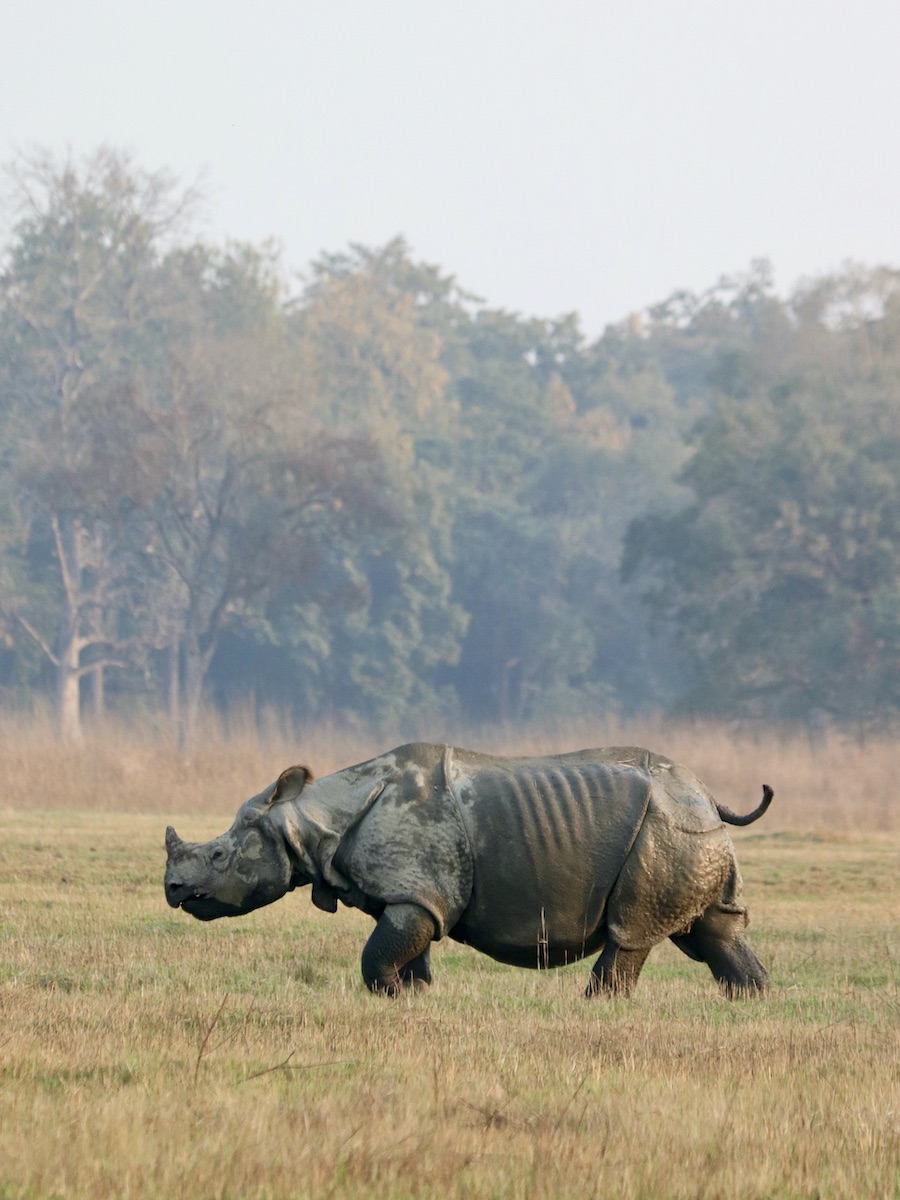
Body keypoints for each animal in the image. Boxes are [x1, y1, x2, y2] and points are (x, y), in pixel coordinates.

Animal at [164, 743, 773, 997]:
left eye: (218, 858)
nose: (172, 889)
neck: (311, 817)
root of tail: (709, 796)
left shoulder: (419, 893)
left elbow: (376, 955)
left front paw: (389, 994)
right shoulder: (415, 894)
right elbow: (405, 947)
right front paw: (415, 996)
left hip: (665, 825)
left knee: (632, 930)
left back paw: (598, 1006)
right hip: (687, 827)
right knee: (712, 930)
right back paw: (752, 1000)